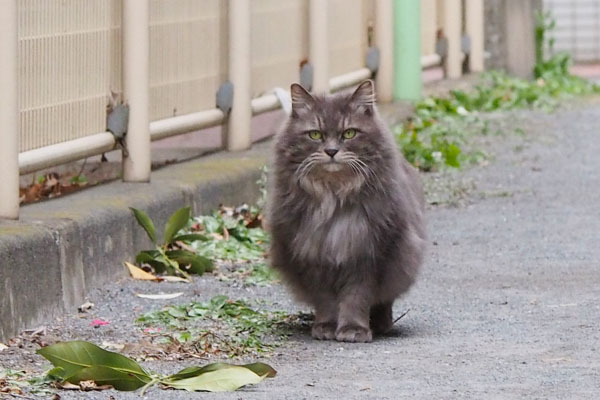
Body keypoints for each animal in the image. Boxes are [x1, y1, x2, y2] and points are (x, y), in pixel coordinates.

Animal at [268, 81, 426, 344]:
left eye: (349, 133)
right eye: (315, 134)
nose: (331, 151)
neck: (334, 195)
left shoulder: (367, 255)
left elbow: (356, 298)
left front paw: (353, 329)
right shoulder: (314, 256)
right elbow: (325, 301)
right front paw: (326, 327)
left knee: (384, 302)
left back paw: (381, 325)